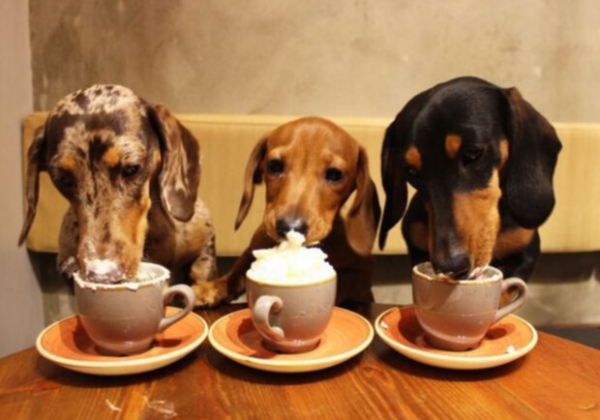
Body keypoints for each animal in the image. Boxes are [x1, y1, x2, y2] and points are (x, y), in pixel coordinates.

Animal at [193, 117, 381, 307]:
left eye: (335, 174)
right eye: (274, 165)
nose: (289, 227)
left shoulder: (361, 274)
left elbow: (345, 283)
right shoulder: (250, 252)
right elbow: (236, 272)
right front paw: (212, 287)